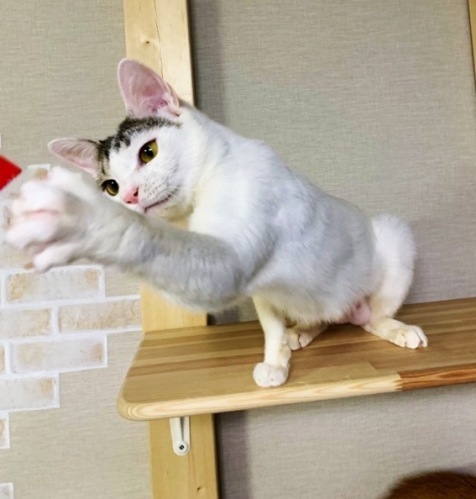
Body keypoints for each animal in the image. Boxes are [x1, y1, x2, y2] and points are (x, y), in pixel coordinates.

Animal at [6, 59, 428, 387]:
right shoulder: (261, 289)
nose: (129, 198)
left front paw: (78, 217)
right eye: (111, 185)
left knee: (371, 318)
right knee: (323, 317)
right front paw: (276, 361)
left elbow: (147, 240)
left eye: (149, 151)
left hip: (394, 237)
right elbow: (270, 327)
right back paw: (303, 332)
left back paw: (398, 330)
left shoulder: (231, 262)